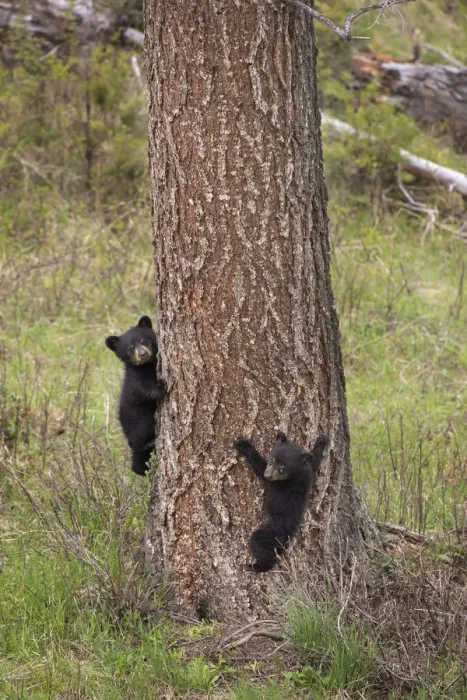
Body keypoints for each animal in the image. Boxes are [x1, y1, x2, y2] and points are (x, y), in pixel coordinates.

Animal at [105, 315, 167, 476]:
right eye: (130, 348)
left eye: (144, 341)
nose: (143, 354)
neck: (148, 365)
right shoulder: (135, 378)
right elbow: (143, 389)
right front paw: (162, 388)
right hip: (138, 419)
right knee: (137, 441)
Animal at [234, 431, 328, 572]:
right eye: (271, 460)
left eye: (282, 469)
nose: (268, 475)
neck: (298, 473)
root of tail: (287, 534)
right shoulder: (308, 470)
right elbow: (315, 462)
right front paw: (321, 442)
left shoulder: (281, 482)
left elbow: (259, 467)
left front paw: (244, 445)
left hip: (269, 534)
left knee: (262, 549)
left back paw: (256, 567)